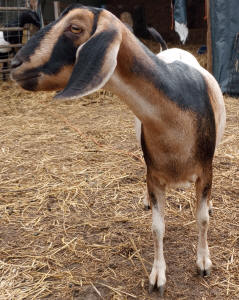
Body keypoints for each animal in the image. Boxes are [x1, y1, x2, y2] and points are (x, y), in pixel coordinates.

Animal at [10, 3, 226, 296]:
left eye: (75, 27)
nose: (15, 65)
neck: (173, 121)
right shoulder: (154, 175)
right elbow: (157, 227)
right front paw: (157, 276)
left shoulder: (204, 170)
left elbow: (202, 219)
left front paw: (203, 263)